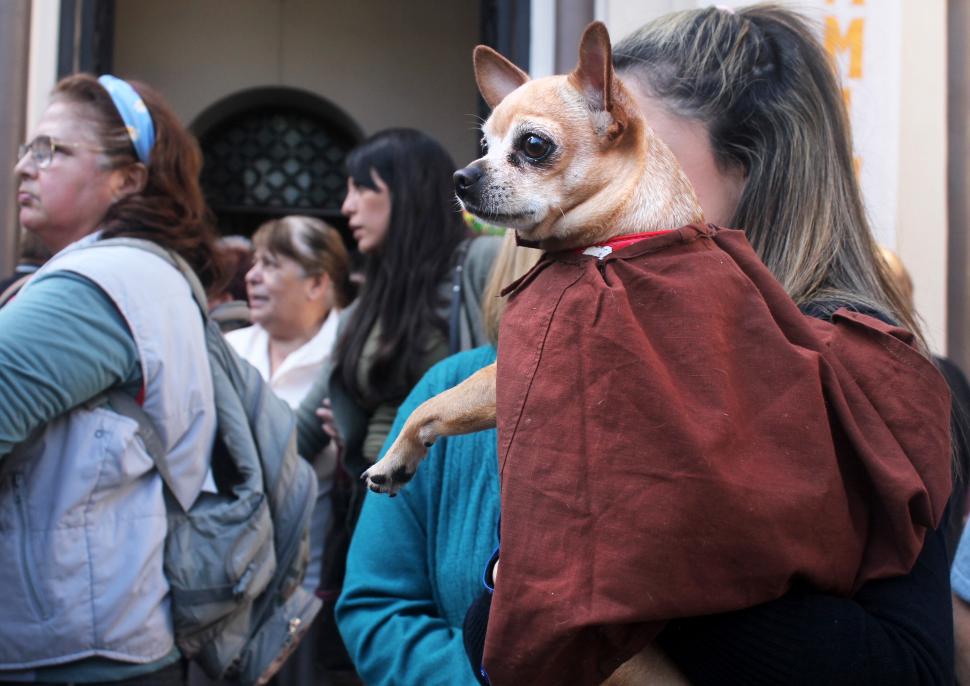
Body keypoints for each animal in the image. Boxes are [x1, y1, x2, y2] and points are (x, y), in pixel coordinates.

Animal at [360, 20, 700, 494]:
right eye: (484, 143)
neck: (620, 232)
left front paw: (394, 458)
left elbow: (430, 404)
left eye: (533, 145)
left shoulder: (505, 374)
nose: (460, 176)